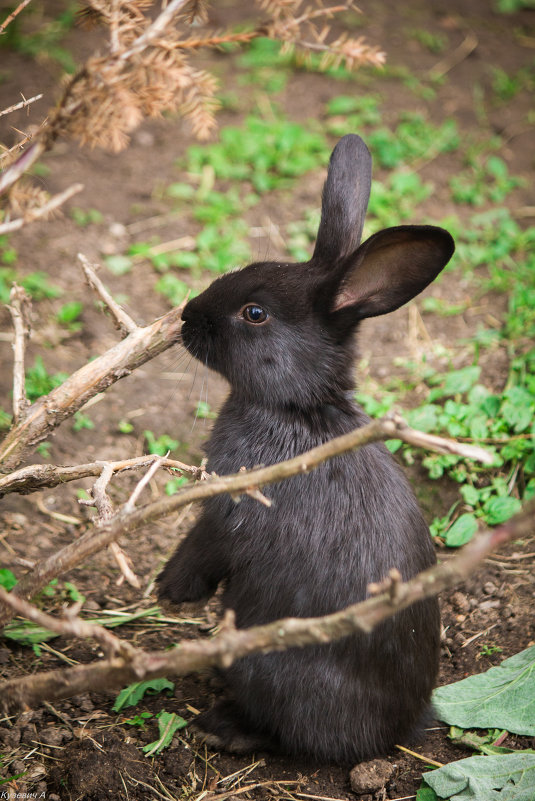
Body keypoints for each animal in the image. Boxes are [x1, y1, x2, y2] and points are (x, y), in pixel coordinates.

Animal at [157, 134, 454, 760]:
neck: (298, 411)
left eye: (255, 313)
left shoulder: (229, 509)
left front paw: (170, 589)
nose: (187, 315)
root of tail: (396, 735)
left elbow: (202, 546)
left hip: (263, 662)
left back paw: (222, 725)